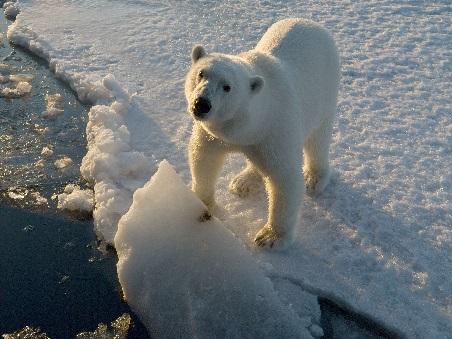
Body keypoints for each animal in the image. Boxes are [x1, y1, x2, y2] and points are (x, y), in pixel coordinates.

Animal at [185, 18, 340, 251]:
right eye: (201, 73)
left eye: (227, 87)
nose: (201, 104)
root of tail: (311, 23)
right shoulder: (215, 135)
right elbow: (203, 158)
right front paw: (201, 202)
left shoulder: (276, 130)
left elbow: (285, 179)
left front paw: (270, 237)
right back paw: (243, 182)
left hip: (325, 91)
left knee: (317, 139)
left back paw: (314, 177)